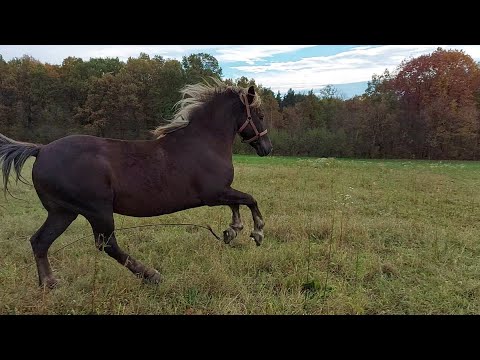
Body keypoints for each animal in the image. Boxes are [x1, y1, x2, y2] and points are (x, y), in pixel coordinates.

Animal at [0, 80, 270, 288]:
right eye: (261, 115)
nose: (267, 148)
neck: (203, 142)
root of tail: (41, 149)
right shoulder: (213, 194)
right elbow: (250, 199)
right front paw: (256, 233)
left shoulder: (221, 193)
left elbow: (238, 204)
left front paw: (232, 231)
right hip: (96, 210)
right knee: (107, 245)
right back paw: (152, 275)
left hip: (63, 212)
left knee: (40, 241)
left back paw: (49, 283)